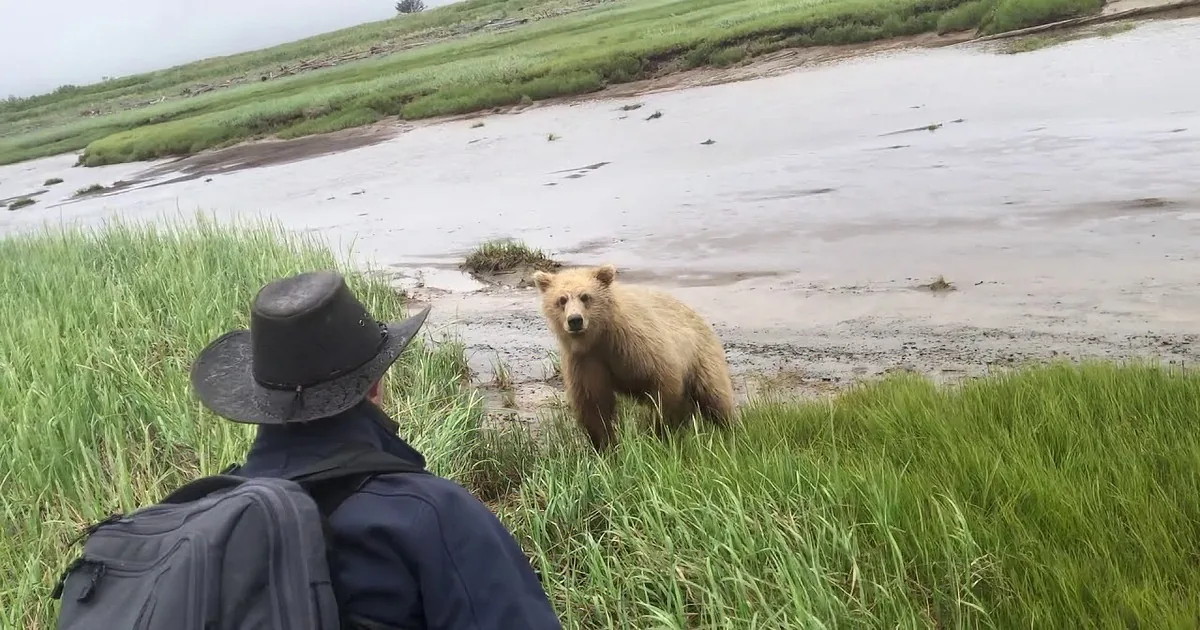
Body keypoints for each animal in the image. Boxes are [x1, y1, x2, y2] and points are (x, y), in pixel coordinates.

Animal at [531, 263, 737, 452]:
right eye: (561, 299)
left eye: (585, 296)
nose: (575, 320)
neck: (600, 337)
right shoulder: (586, 360)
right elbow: (593, 404)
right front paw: (605, 446)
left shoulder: (637, 345)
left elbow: (664, 385)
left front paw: (660, 431)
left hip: (702, 355)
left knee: (714, 394)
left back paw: (728, 428)